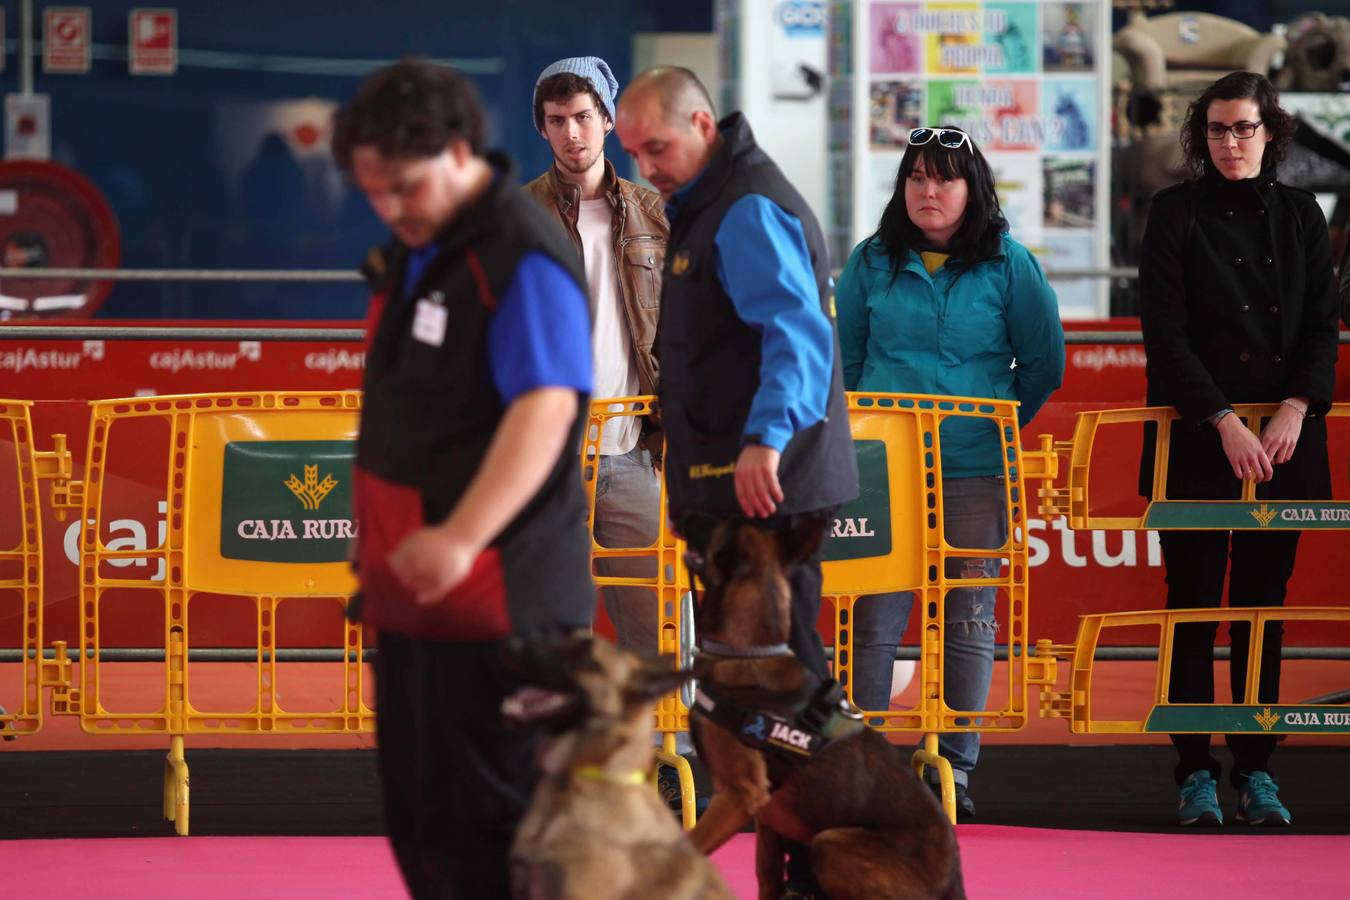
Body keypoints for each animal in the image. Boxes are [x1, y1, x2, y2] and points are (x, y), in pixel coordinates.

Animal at [685, 518, 972, 900]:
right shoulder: (767, 816)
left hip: (830, 843)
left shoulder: (738, 795)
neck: (750, 652)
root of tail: (953, 882)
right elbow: (767, 875)